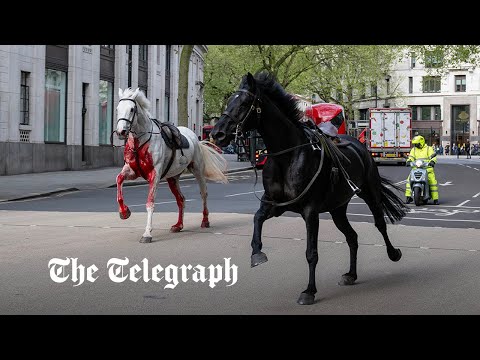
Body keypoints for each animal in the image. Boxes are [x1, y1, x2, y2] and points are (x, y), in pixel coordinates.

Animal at [116, 88, 229, 243]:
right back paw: (178, 225)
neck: (142, 141)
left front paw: (147, 233)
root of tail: (195, 138)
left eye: (132, 109)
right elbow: (119, 180)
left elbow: (150, 203)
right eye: (117, 109)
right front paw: (124, 212)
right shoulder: (132, 171)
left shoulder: (154, 175)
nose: (120, 132)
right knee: (181, 199)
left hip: (198, 170)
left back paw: (205, 221)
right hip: (173, 178)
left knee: (203, 194)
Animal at [212, 71, 406, 306]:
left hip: (370, 192)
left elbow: (311, 253)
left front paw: (309, 291)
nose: (217, 134)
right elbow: (257, 219)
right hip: (337, 208)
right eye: (229, 101)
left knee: (379, 223)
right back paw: (351, 274)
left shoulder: (310, 211)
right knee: (352, 236)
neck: (287, 157)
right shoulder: (274, 205)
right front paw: (257, 254)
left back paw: (393, 253)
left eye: (244, 103)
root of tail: (359, 143)